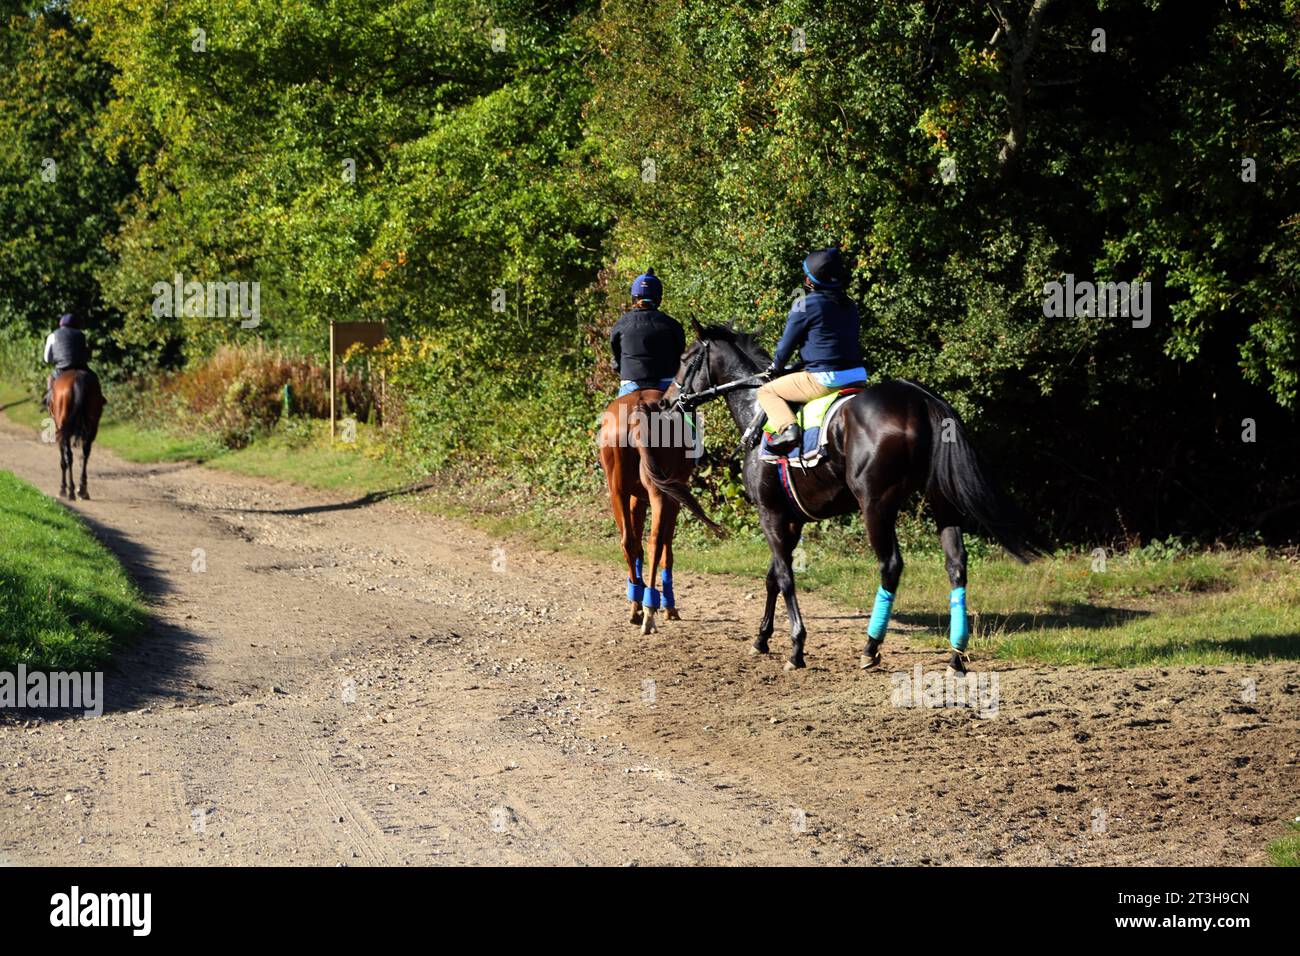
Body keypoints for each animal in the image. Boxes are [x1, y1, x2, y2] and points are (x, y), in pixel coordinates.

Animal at [48, 369, 105, 502]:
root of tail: (78, 381)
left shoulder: (58, 430)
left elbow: (63, 461)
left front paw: (63, 489)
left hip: (63, 428)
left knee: (69, 456)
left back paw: (70, 491)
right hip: (92, 427)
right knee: (85, 454)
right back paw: (82, 490)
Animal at [598, 385, 722, 639]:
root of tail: (638, 408)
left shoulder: (636, 498)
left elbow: (637, 546)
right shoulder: (672, 499)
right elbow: (667, 549)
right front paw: (669, 607)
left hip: (618, 491)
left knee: (630, 542)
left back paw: (638, 606)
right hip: (661, 492)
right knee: (655, 543)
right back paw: (651, 610)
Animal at [660, 325, 1034, 676]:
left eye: (684, 359)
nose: (665, 401)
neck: (757, 409)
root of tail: (920, 399)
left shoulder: (771, 515)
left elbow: (784, 578)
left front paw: (796, 647)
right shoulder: (791, 520)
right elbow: (773, 577)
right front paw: (761, 639)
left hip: (876, 506)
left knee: (890, 566)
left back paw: (871, 647)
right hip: (942, 502)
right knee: (956, 566)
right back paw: (956, 655)